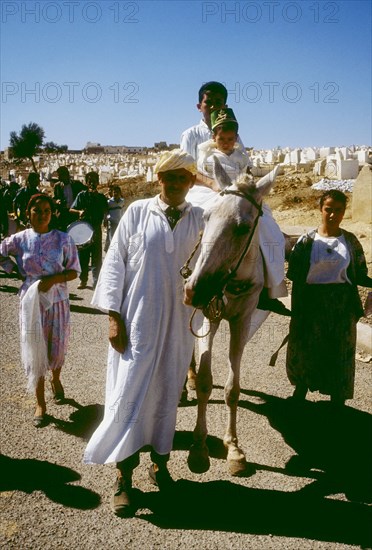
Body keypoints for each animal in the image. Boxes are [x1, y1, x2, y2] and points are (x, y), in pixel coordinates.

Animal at [183, 162, 280, 476]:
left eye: (243, 227)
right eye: (206, 217)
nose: (194, 289)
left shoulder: (242, 320)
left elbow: (232, 389)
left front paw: (234, 448)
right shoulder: (207, 318)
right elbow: (205, 382)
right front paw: (199, 448)